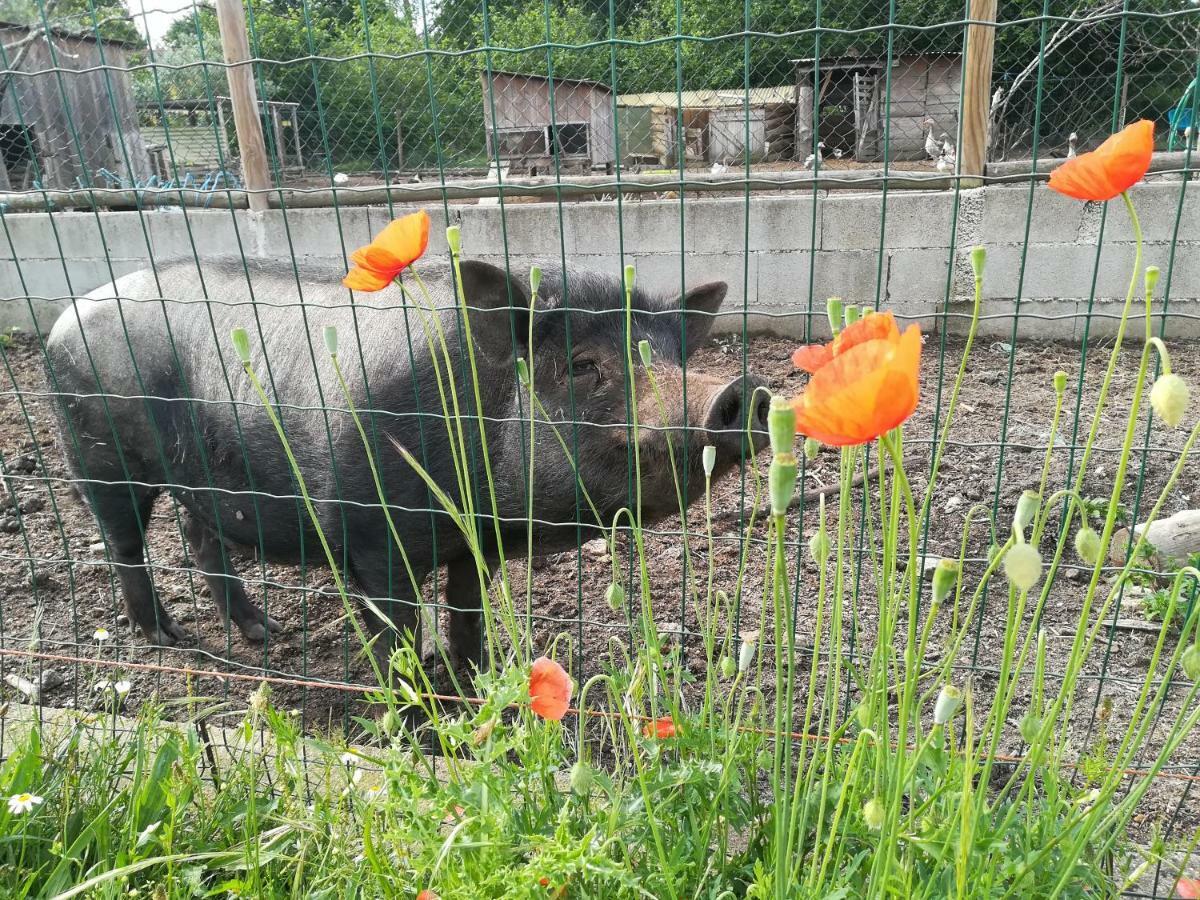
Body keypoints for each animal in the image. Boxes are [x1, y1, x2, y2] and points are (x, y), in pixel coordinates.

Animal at [46, 256, 768, 667]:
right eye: (584, 365)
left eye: (672, 355)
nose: (743, 390)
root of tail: (67, 315)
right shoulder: (372, 540)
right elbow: (395, 633)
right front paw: (420, 713)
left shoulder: (474, 544)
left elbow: (467, 611)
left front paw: (476, 677)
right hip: (98, 452)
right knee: (125, 543)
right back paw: (166, 640)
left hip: (200, 470)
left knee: (199, 535)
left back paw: (264, 634)